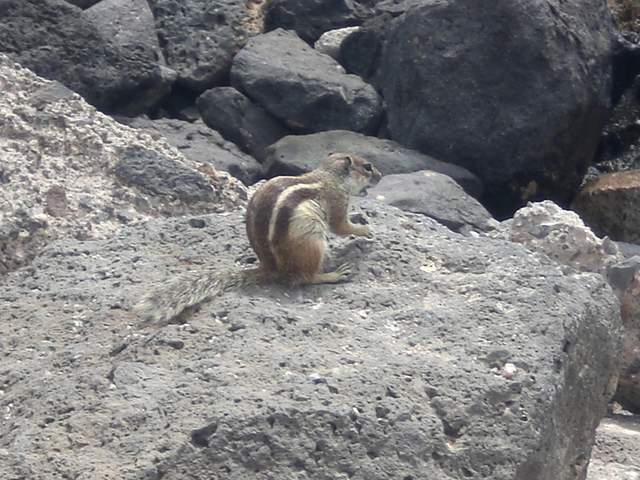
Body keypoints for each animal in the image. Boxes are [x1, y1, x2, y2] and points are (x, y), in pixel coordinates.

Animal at [135, 152, 382, 324]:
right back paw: (333, 274)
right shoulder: (337, 201)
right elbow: (341, 226)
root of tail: (271, 268)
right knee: (303, 278)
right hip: (312, 240)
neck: (330, 175)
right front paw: (365, 229)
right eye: (368, 167)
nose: (380, 175)